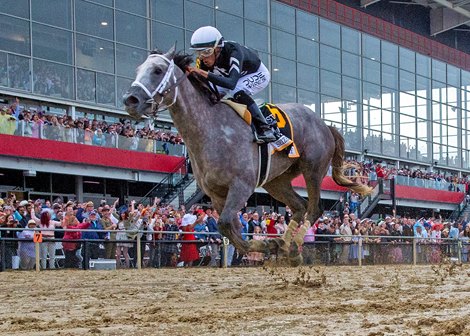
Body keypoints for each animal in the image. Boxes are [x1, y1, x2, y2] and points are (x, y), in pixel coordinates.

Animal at [123, 48, 370, 266]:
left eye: (157, 70)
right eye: (137, 69)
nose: (131, 99)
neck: (210, 129)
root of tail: (325, 125)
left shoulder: (241, 185)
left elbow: (225, 224)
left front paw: (266, 246)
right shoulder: (216, 194)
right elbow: (229, 228)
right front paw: (268, 245)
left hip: (313, 169)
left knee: (314, 207)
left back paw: (292, 246)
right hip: (276, 181)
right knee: (300, 206)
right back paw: (287, 247)